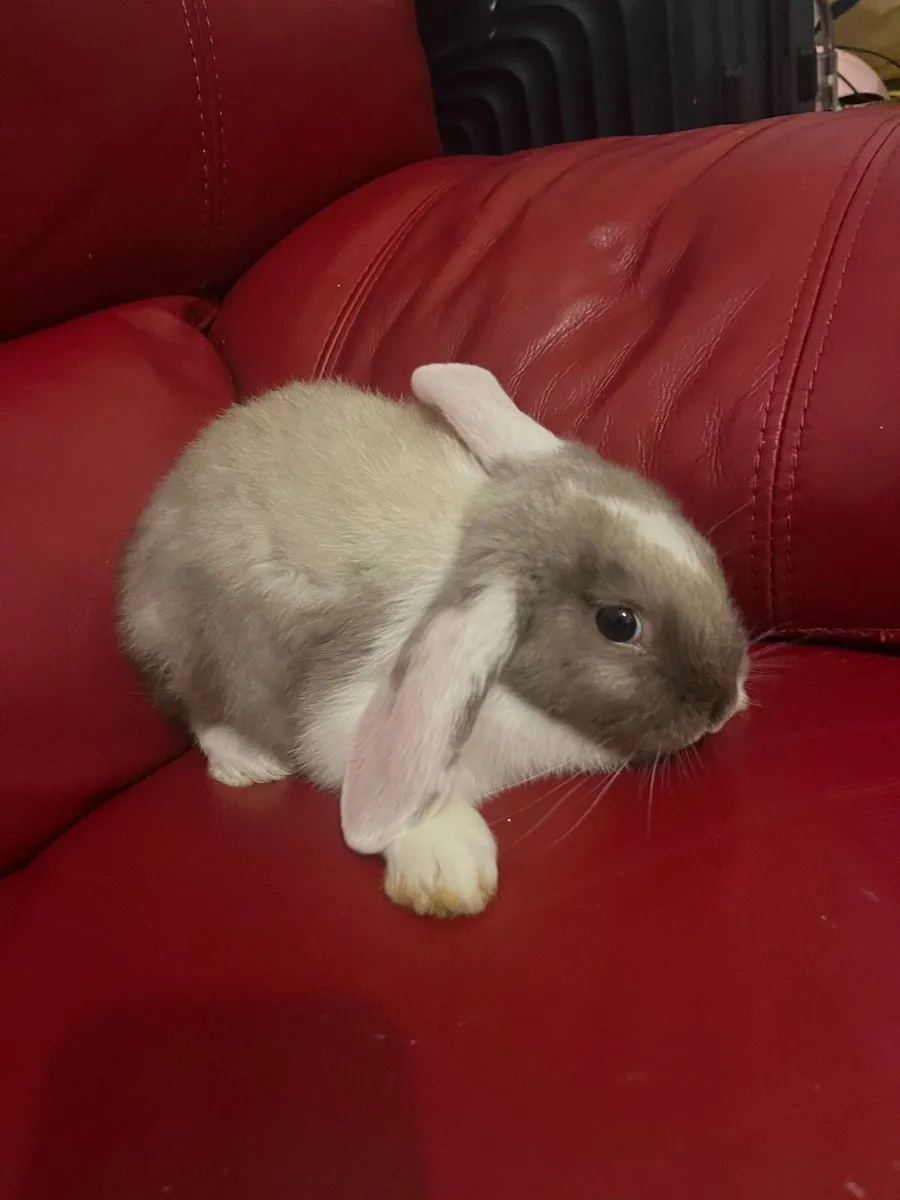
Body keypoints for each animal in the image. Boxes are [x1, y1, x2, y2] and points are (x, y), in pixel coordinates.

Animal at [118, 363, 749, 918]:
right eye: (619, 623)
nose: (719, 705)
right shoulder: (354, 711)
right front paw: (447, 869)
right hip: (196, 644)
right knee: (197, 706)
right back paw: (248, 764)